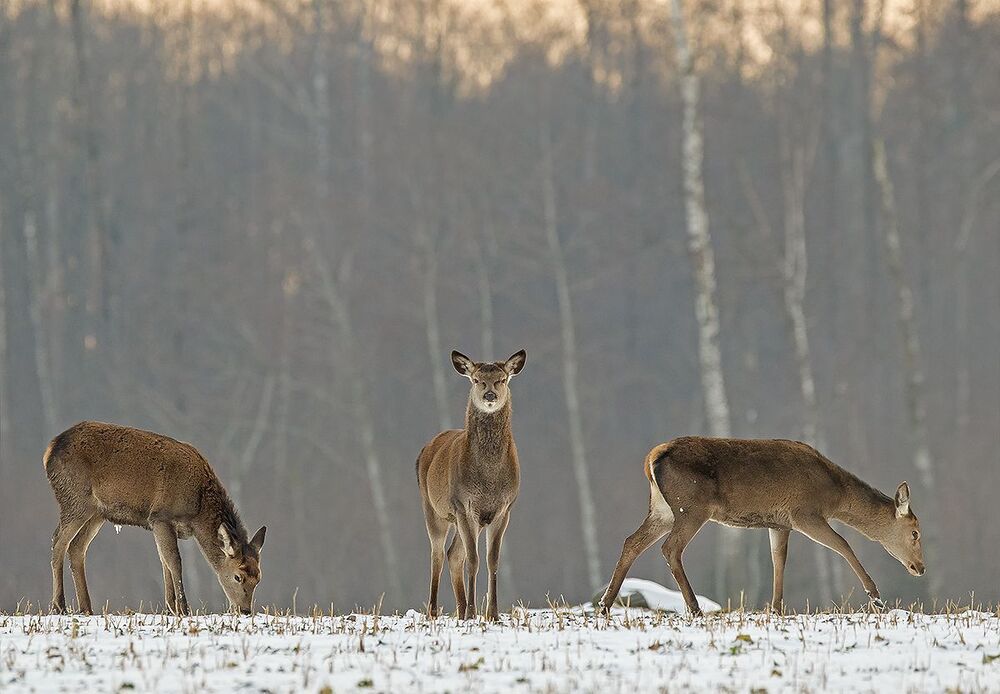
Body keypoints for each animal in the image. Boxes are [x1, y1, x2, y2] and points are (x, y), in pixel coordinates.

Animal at [44, 421, 267, 616]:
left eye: (258, 578)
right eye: (238, 576)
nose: (245, 610)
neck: (197, 511)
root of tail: (50, 450)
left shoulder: (161, 524)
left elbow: (164, 560)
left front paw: (171, 608)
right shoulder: (161, 516)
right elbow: (174, 561)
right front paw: (184, 609)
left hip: (97, 512)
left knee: (77, 547)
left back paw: (86, 608)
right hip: (75, 499)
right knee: (58, 542)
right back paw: (59, 606)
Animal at [416, 349, 526, 621]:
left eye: (502, 379)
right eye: (477, 380)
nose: (490, 395)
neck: (488, 480)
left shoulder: (504, 508)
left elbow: (491, 559)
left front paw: (492, 613)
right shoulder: (463, 504)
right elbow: (474, 559)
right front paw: (474, 611)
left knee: (454, 554)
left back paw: (461, 608)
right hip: (433, 508)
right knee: (437, 554)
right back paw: (434, 611)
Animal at [598, 437, 925, 616]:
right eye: (915, 532)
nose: (920, 568)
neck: (835, 495)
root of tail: (651, 458)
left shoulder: (779, 523)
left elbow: (778, 559)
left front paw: (776, 608)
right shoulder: (804, 513)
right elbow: (844, 545)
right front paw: (876, 597)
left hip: (663, 510)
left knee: (632, 542)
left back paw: (605, 605)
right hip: (691, 506)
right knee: (670, 548)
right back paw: (694, 607)